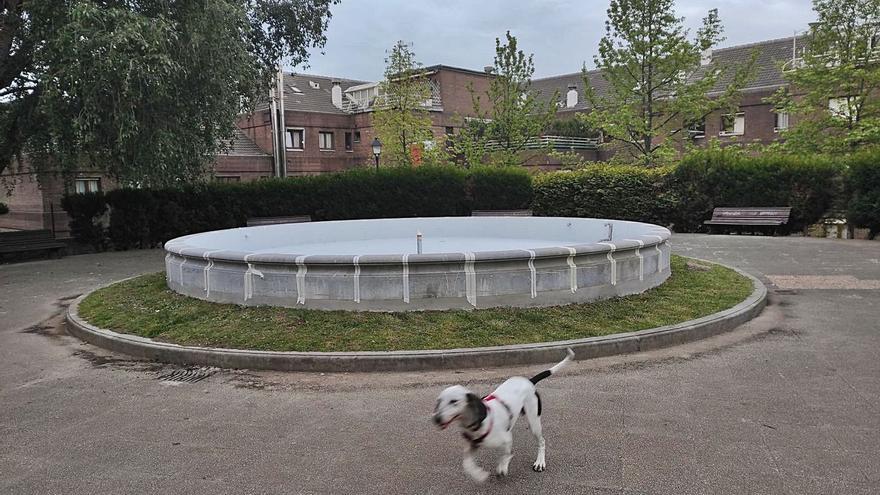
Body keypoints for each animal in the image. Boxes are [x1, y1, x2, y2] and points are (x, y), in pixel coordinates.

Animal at [430, 346, 576, 482]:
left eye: (454, 401)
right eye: (439, 401)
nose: (436, 419)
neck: (481, 422)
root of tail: (529, 381)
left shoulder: (507, 439)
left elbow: (508, 454)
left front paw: (502, 467)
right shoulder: (473, 445)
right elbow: (467, 464)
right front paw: (479, 475)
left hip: (534, 422)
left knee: (542, 441)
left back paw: (540, 462)